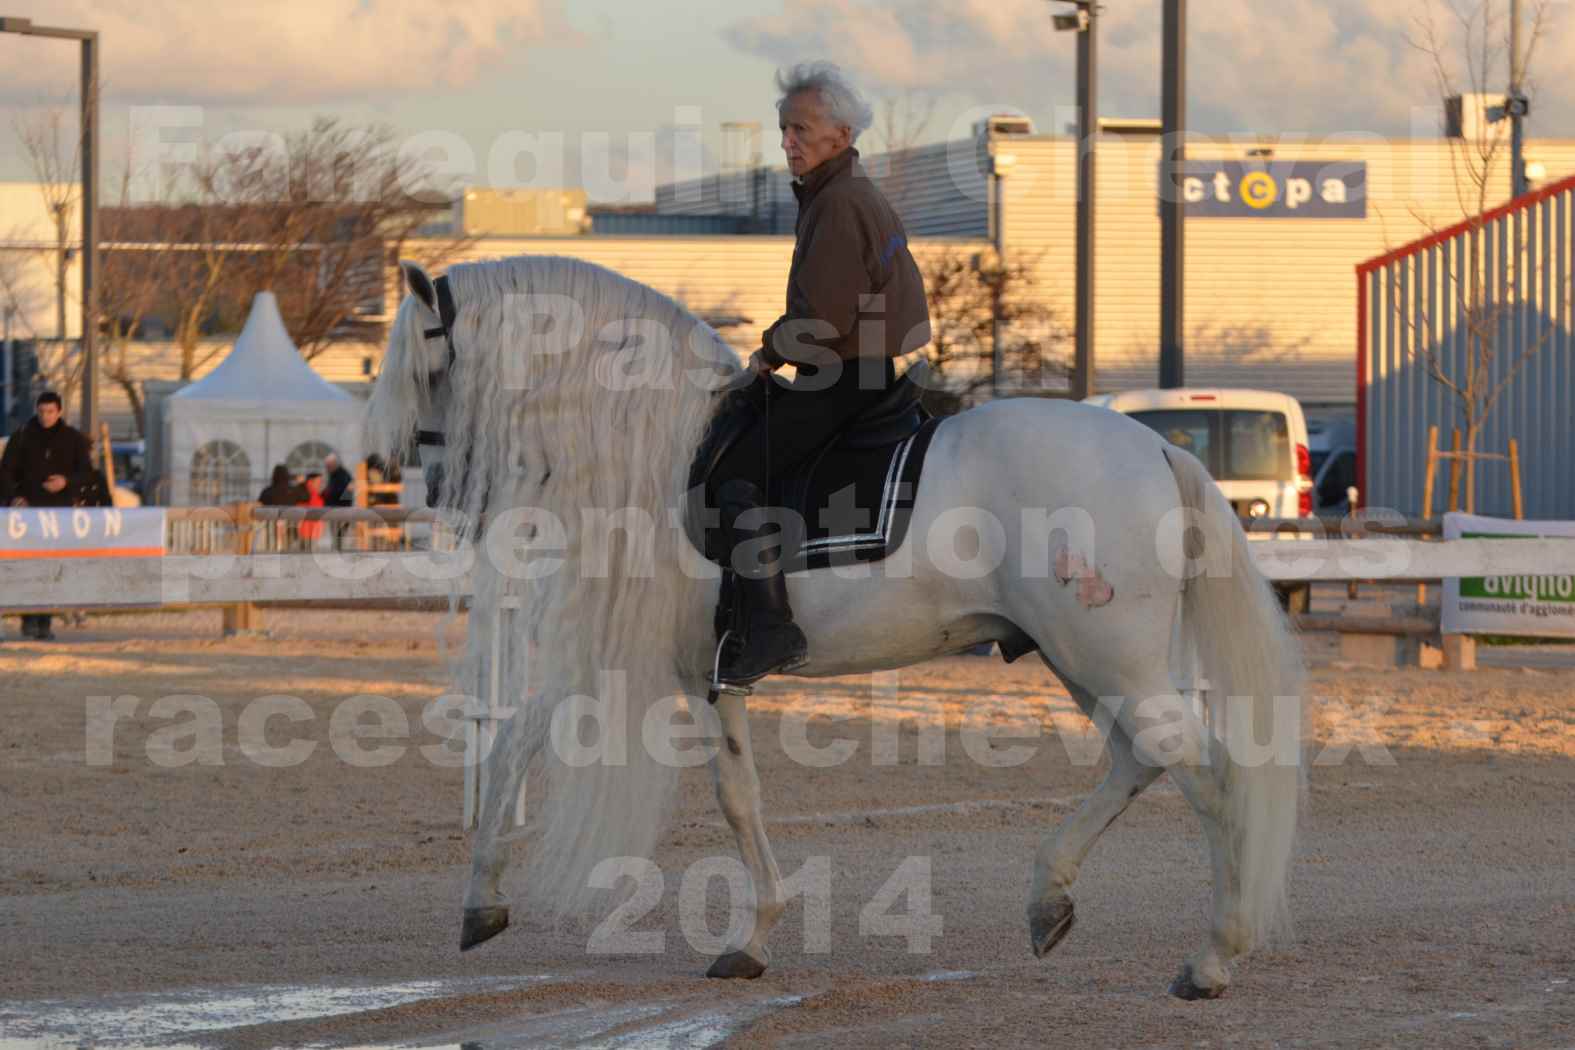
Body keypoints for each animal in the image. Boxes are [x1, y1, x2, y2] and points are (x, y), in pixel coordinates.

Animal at [368, 255, 1304, 1001]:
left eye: (423, 359)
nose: (399, 470)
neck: (653, 447)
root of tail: (1155, 448)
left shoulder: (609, 661)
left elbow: (518, 749)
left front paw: (484, 902)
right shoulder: (703, 674)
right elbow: (730, 795)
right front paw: (748, 940)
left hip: (1104, 657)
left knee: (1205, 772)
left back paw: (1210, 957)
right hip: (1081, 659)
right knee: (1142, 759)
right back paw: (1050, 901)